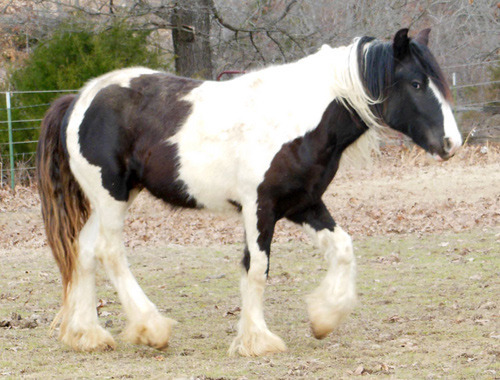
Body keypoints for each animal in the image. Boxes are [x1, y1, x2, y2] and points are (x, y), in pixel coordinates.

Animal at [37, 29, 460, 356]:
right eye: (417, 84)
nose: (451, 143)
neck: (295, 119)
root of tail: (77, 100)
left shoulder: (304, 204)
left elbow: (343, 248)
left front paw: (323, 318)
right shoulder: (260, 207)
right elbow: (256, 268)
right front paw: (257, 340)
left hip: (113, 197)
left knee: (84, 250)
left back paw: (88, 335)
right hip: (111, 196)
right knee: (110, 252)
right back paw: (151, 328)